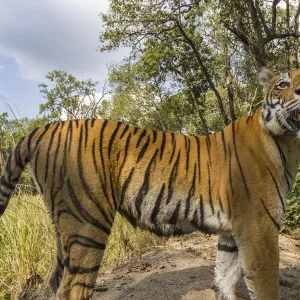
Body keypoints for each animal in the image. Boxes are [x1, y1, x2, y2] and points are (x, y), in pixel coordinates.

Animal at [0, 68, 300, 300]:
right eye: (283, 84)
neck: (288, 144)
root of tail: (43, 128)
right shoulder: (258, 229)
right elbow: (264, 287)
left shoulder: (232, 234)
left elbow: (224, 280)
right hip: (87, 221)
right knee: (73, 288)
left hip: (62, 228)